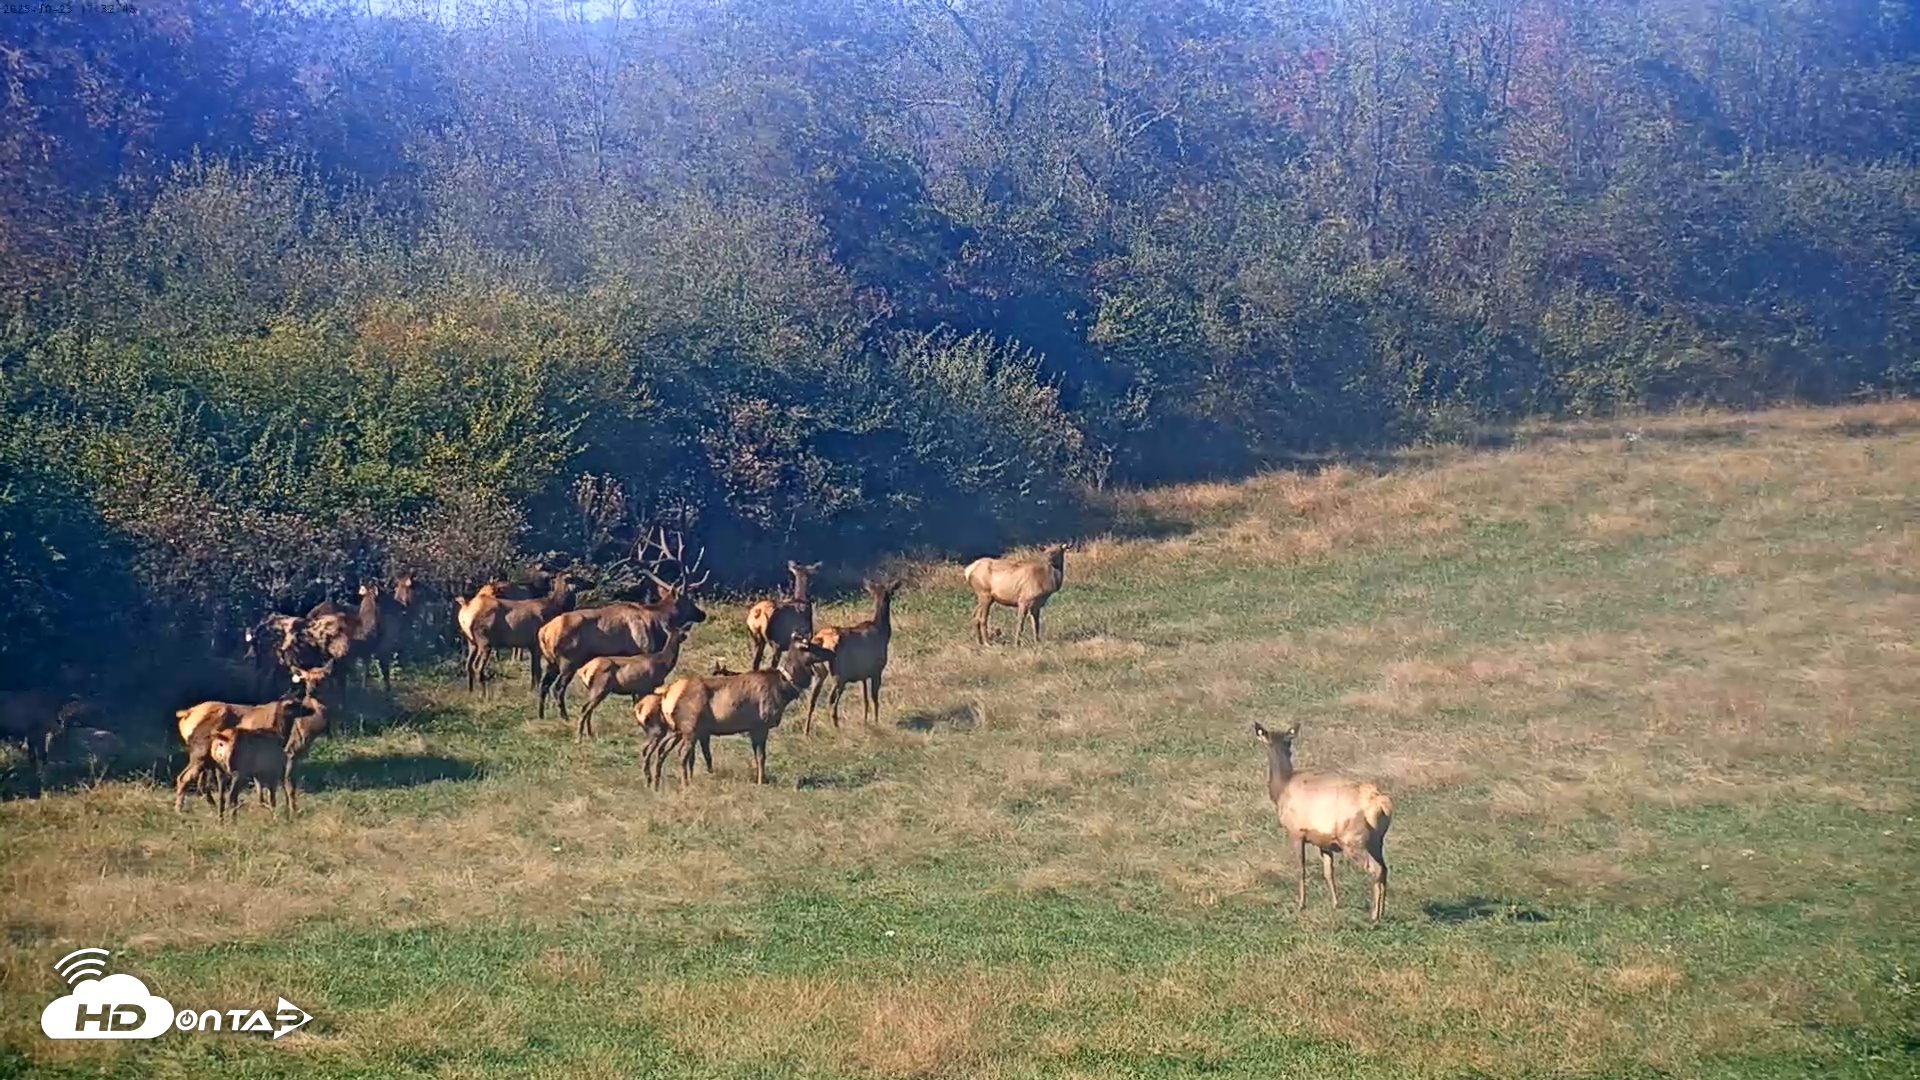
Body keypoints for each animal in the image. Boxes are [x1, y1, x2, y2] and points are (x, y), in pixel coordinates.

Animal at [535, 528, 710, 722]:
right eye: (687, 600)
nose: (702, 614)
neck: (657, 623)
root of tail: (544, 632)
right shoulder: (642, 650)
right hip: (569, 660)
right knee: (557, 688)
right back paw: (565, 717)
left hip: (550, 660)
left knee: (543, 685)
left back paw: (541, 715)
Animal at [645, 634, 834, 789]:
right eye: (812, 646)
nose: (832, 652)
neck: (785, 689)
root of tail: (667, 695)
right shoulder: (761, 725)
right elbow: (761, 756)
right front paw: (761, 781)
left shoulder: (752, 728)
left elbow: (756, 756)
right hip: (690, 727)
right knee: (681, 754)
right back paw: (685, 785)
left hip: (676, 730)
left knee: (661, 750)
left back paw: (656, 784)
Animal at [804, 579, 903, 734]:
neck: (883, 632)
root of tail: (821, 640)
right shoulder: (877, 669)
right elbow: (874, 697)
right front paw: (876, 722)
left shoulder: (863, 674)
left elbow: (865, 698)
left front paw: (865, 721)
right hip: (840, 674)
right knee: (831, 699)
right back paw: (836, 726)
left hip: (818, 672)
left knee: (812, 699)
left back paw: (807, 732)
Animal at [1252, 722, 1394, 923]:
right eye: (1284, 741)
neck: (1281, 789)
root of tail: (1382, 805)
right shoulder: (1324, 841)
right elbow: (1328, 872)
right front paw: (1335, 903)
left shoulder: (1296, 831)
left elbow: (1301, 869)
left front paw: (1301, 905)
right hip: (1376, 841)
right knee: (1385, 868)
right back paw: (1381, 911)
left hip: (1353, 839)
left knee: (1376, 869)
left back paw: (1374, 914)